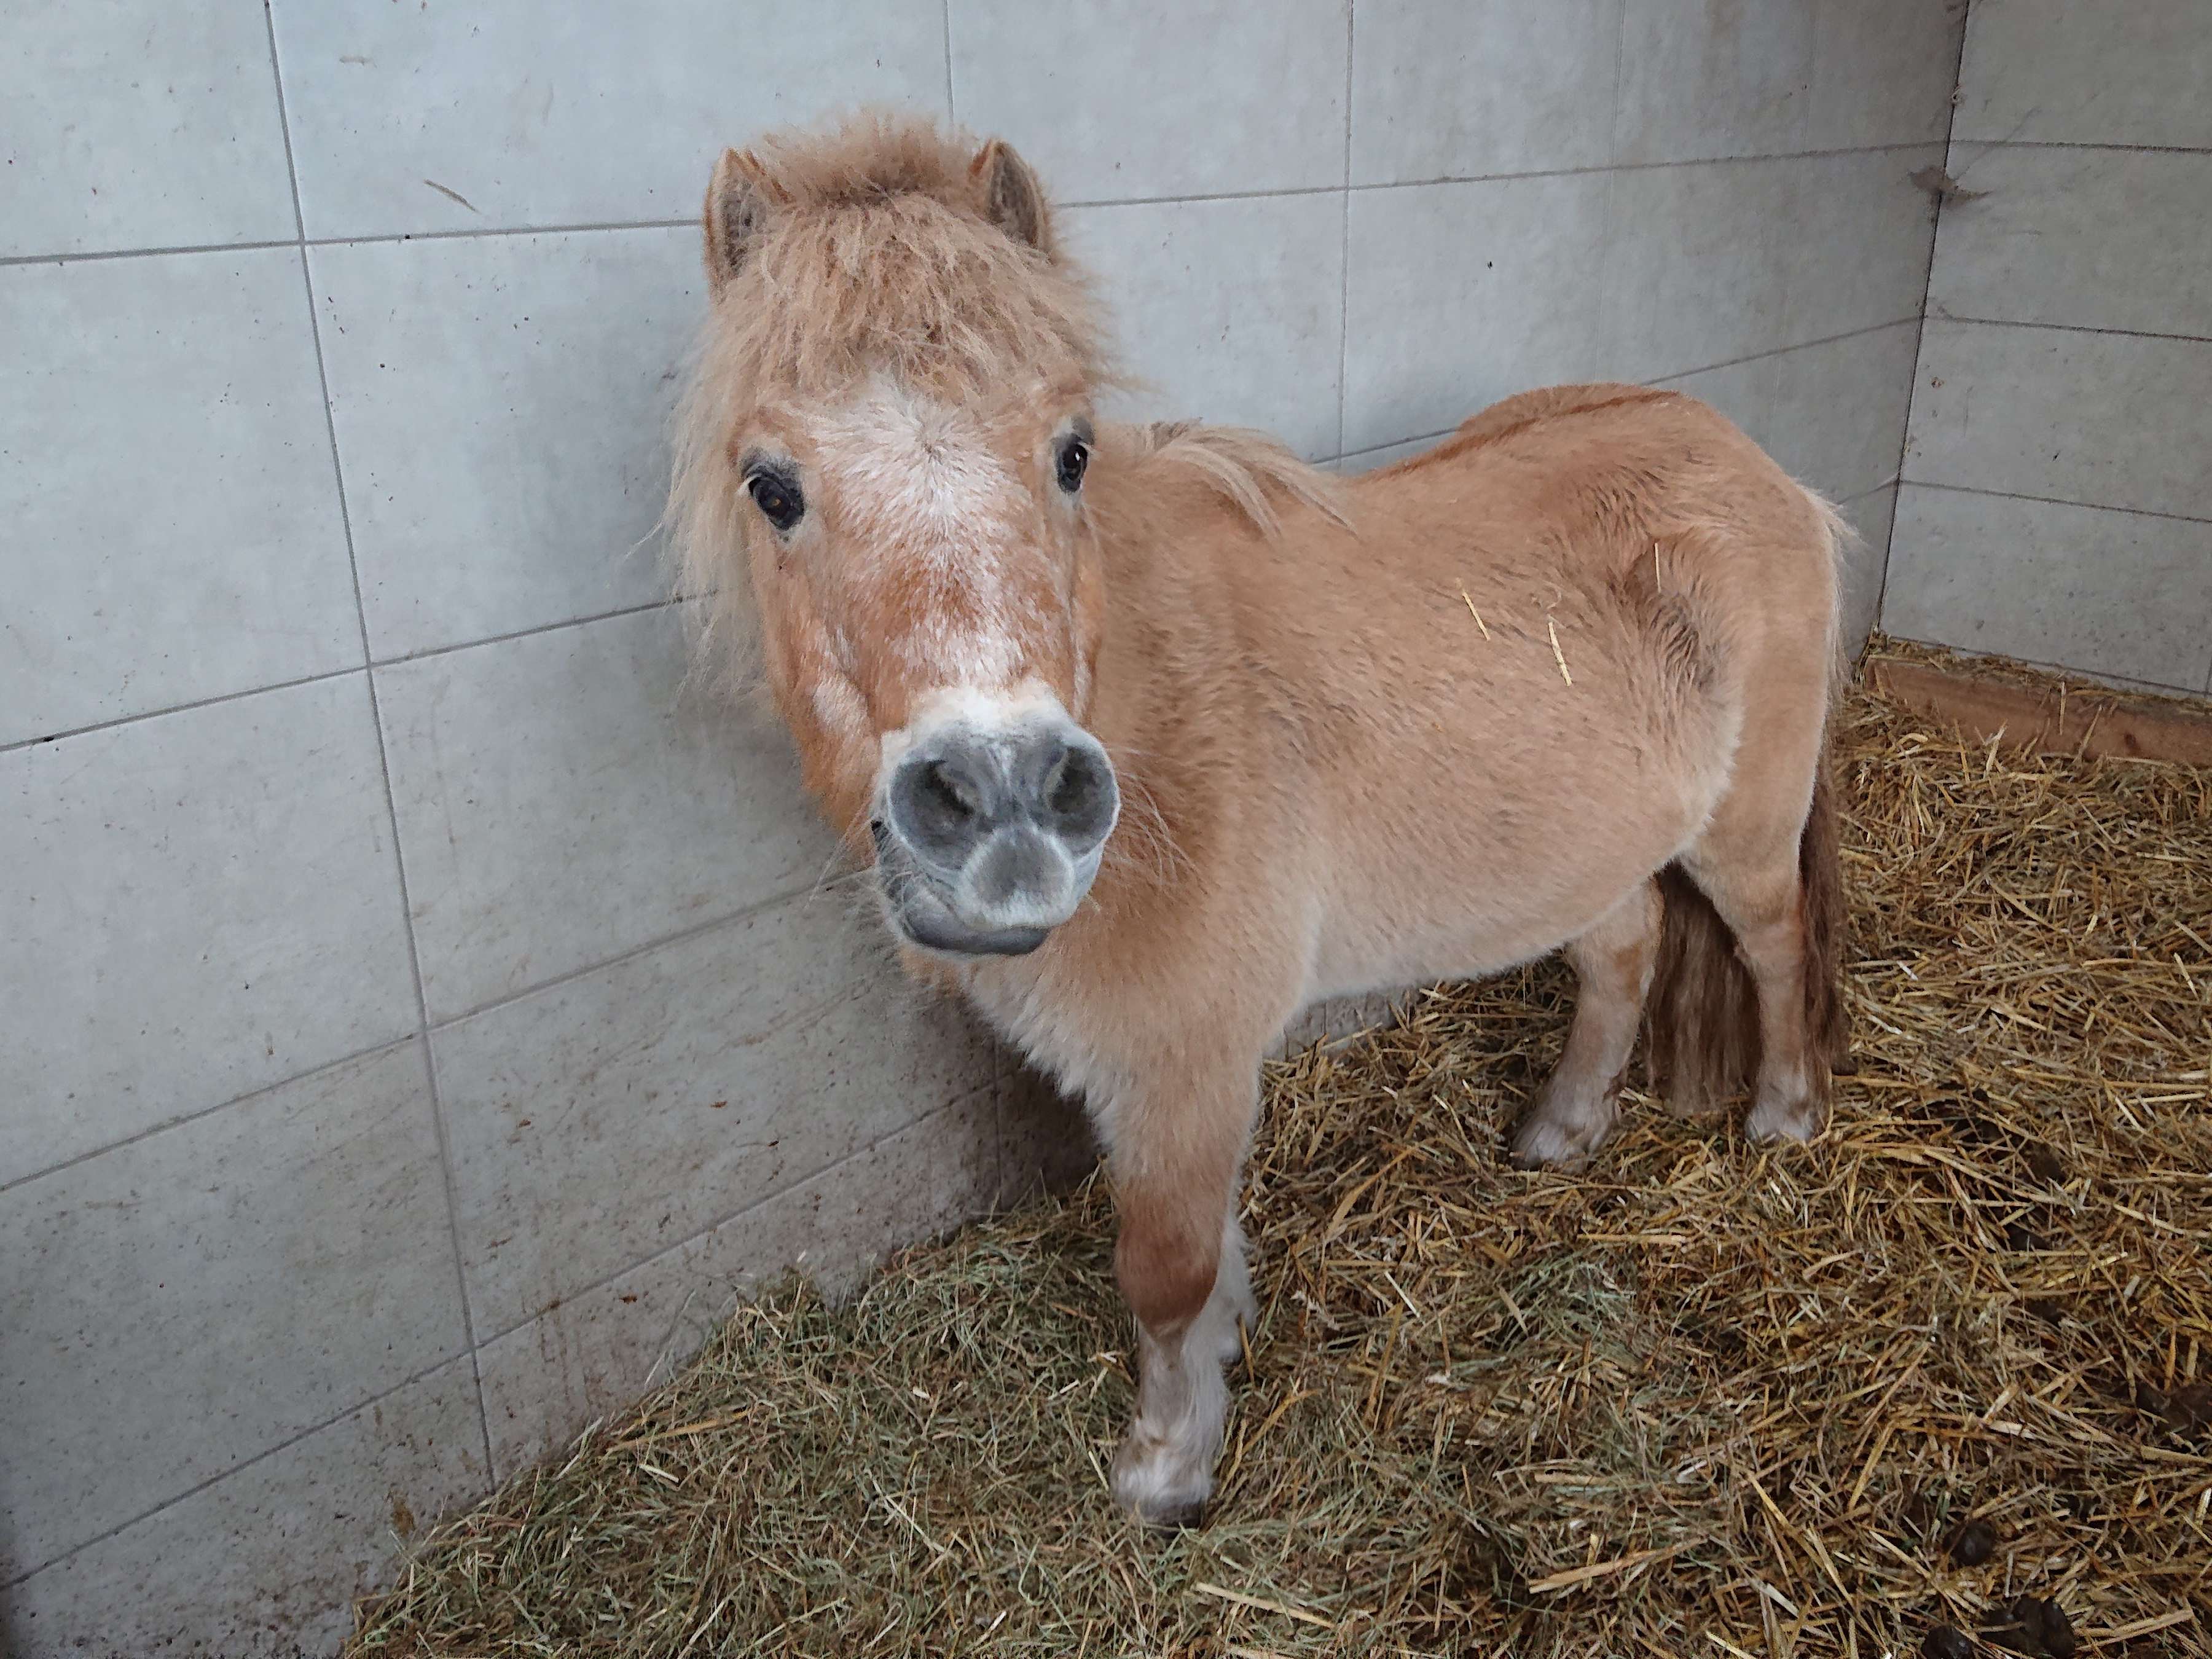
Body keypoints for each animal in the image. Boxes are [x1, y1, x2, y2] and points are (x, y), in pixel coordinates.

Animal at [667, 113, 1850, 1527]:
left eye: (1072, 452)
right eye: (771, 487)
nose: (1008, 799)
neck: (1157, 722)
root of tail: (1750, 460)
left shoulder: (1185, 1065)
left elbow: (1163, 1271)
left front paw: (1167, 1467)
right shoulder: (1164, 1080)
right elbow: (1206, 1257)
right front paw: (1220, 1362)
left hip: (1746, 835)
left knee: (1775, 947)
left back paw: (1785, 1116)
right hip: (1588, 847)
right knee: (1624, 955)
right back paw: (1561, 1133)